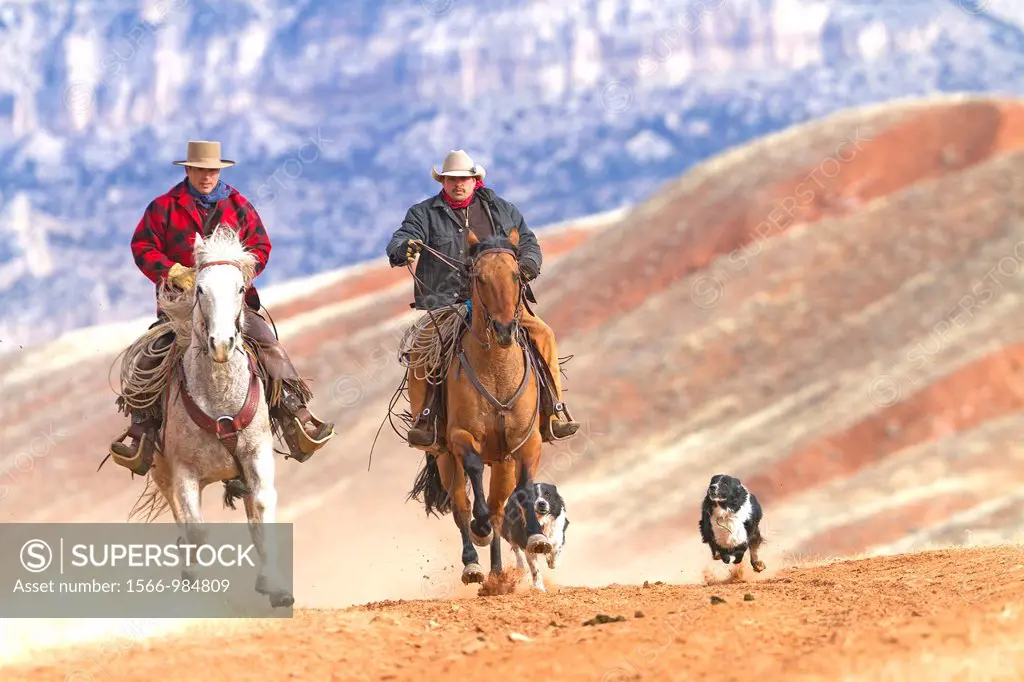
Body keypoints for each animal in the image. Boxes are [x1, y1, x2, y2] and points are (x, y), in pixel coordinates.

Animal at [122, 223, 296, 606]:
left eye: (241, 288)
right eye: (199, 288)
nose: (221, 343)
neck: (219, 399)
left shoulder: (256, 454)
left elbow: (263, 507)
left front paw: (275, 586)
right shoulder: (184, 472)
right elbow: (196, 527)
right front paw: (195, 581)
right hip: (160, 470)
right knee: (179, 515)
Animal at [405, 227, 552, 585]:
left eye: (517, 275)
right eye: (479, 277)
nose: (504, 329)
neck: (497, 369)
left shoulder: (526, 441)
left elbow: (525, 488)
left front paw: (536, 537)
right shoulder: (461, 437)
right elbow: (472, 480)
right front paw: (479, 527)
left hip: (501, 462)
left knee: (499, 509)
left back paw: (498, 574)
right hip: (445, 458)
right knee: (461, 506)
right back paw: (473, 564)